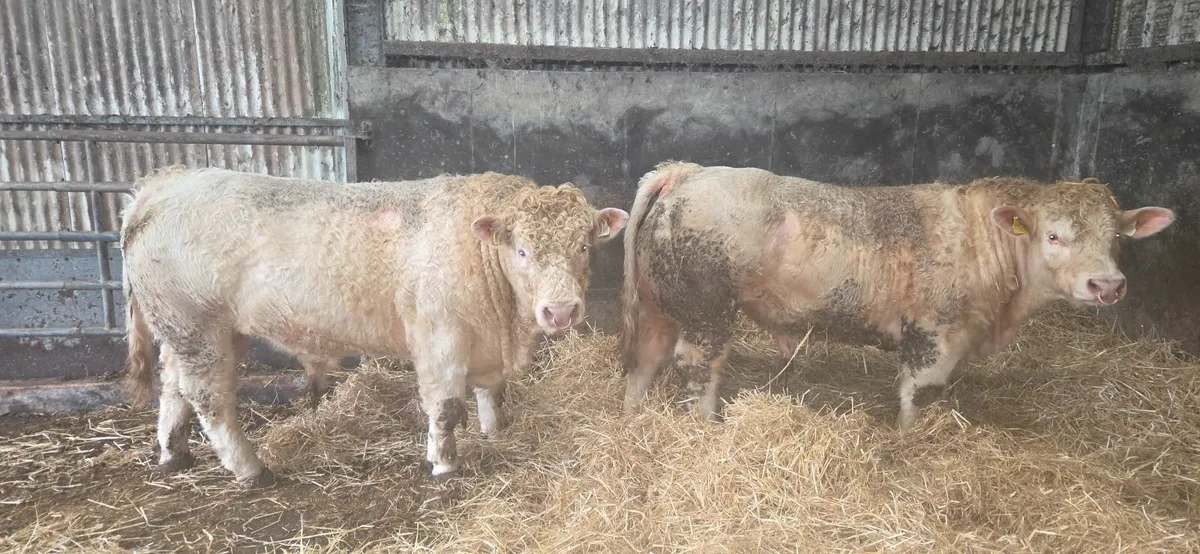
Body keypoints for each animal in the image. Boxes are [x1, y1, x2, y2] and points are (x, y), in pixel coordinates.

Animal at [122, 167, 628, 485]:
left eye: (583, 246)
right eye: (522, 250)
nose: (560, 311)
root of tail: (165, 182)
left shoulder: (485, 340)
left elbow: (492, 393)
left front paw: (494, 432)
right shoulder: (440, 336)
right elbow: (445, 407)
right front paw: (444, 466)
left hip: (188, 330)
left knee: (174, 386)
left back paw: (174, 454)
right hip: (198, 326)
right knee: (210, 398)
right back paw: (251, 470)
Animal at [620, 162, 1174, 430]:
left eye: (1116, 238)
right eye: (1053, 235)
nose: (1107, 285)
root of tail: (689, 170)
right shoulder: (935, 334)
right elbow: (919, 394)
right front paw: (909, 444)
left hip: (660, 302)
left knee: (647, 358)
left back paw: (633, 416)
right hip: (707, 308)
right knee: (698, 364)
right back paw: (707, 426)